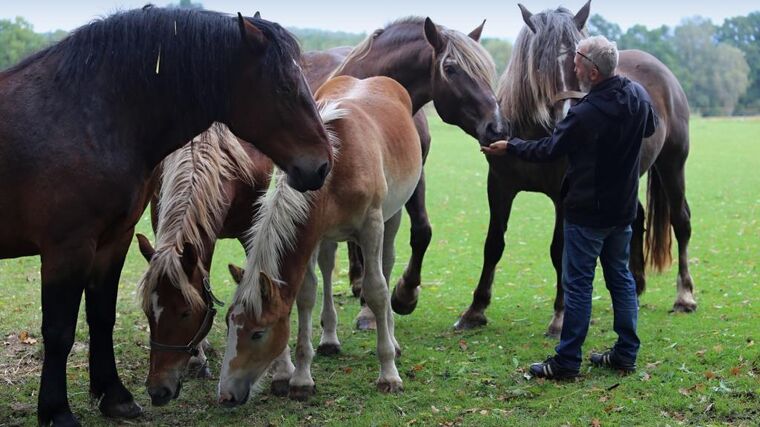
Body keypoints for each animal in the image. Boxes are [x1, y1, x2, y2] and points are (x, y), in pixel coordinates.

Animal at [0, 6, 332, 427]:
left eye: (185, 313)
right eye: (285, 88)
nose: (322, 165)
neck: (85, 114)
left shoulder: (114, 239)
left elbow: (101, 316)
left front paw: (115, 397)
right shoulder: (67, 247)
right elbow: (59, 331)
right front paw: (57, 411)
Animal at [218, 77, 422, 408]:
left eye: (258, 333)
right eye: (227, 324)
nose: (225, 394)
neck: (339, 166)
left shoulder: (372, 226)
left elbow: (376, 290)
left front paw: (389, 373)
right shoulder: (312, 233)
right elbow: (306, 294)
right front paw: (301, 378)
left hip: (393, 216)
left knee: (387, 264)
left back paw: (391, 338)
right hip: (328, 238)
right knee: (327, 269)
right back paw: (329, 339)